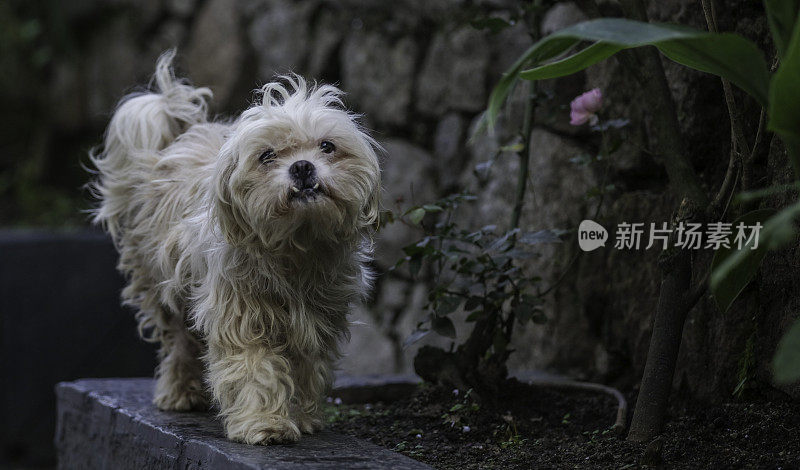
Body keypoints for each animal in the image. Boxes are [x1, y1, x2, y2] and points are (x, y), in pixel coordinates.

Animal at [90, 51, 382, 444]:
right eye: (267, 155)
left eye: (327, 146)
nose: (302, 167)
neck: (296, 248)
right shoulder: (241, 315)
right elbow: (254, 369)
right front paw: (265, 423)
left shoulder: (317, 321)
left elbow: (306, 369)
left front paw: (303, 417)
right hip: (165, 289)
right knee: (179, 343)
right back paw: (181, 393)